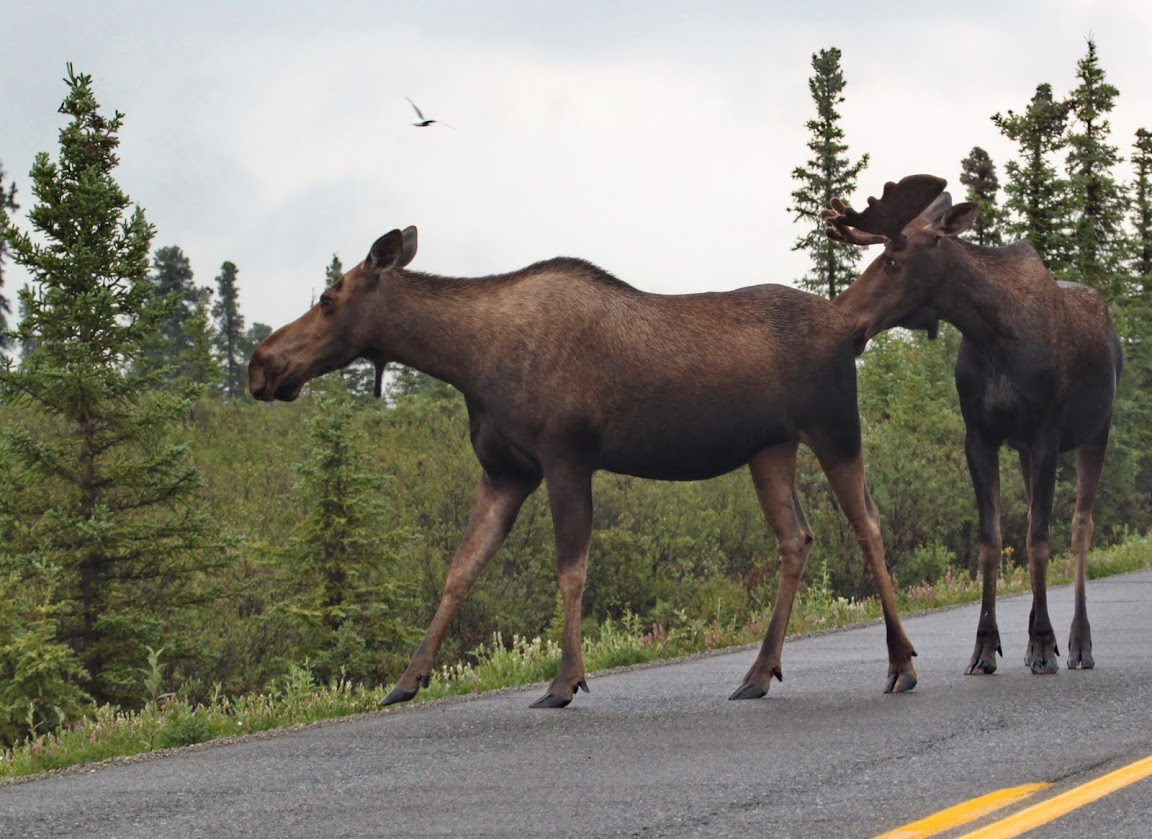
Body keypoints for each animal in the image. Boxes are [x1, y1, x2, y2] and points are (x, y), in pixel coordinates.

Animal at [252, 224, 916, 709]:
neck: (466, 361)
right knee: (796, 538)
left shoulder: (566, 457)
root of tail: (851, 327)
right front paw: (407, 679)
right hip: (769, 449)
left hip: (835, 428)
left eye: (328, 298)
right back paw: (758, 672)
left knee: (868, 523)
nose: (262, 363)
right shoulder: (506, 472)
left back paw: (901, 662)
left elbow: (571, 570)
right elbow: (460, 570)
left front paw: (563, 680)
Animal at [829, 175, 1124, 673]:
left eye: (892, 260)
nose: (842, 317)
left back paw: (1078, 643)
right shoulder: (980, 436)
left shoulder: (1046, 434)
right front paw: (987, 646)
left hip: (1095, 429)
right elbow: (993, 539)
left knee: (1080, 526)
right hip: (1024, 449)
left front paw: (1044, 643)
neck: (992, 334)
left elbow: (1039, 538)